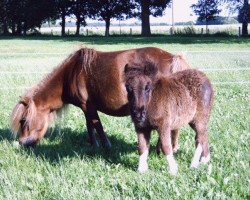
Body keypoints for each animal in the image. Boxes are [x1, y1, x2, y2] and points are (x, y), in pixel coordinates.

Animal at [9, 46, 190, 147]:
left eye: (23, 121)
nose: (20, 143)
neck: (71, 73)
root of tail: (173, 58)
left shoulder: (87, 105)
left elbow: (97, 125)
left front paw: (106, 145)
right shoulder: (85, 107)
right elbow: (90, 125)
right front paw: (93, 144)